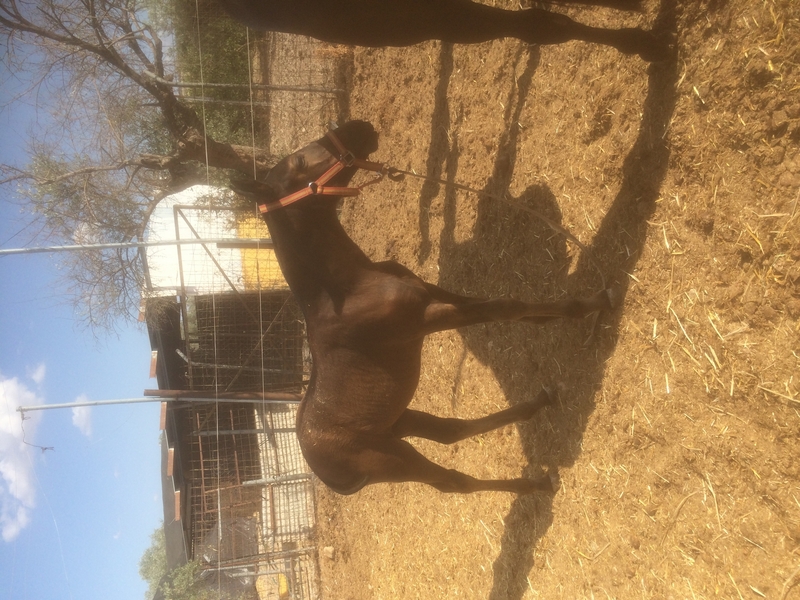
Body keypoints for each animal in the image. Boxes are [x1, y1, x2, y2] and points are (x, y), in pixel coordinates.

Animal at [231, 120, 616, 494]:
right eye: (299, 163)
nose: (359, 125)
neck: (349, 286)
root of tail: (324, 473)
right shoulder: (422, 320)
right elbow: (505, 307)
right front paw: (595, 302)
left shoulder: (428, 292)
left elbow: (495, 304)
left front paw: (571, 312)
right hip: (392, 458)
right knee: (453, 482)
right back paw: (534, 484)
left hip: (397, 421)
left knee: (448, 431)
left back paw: (538, 404)